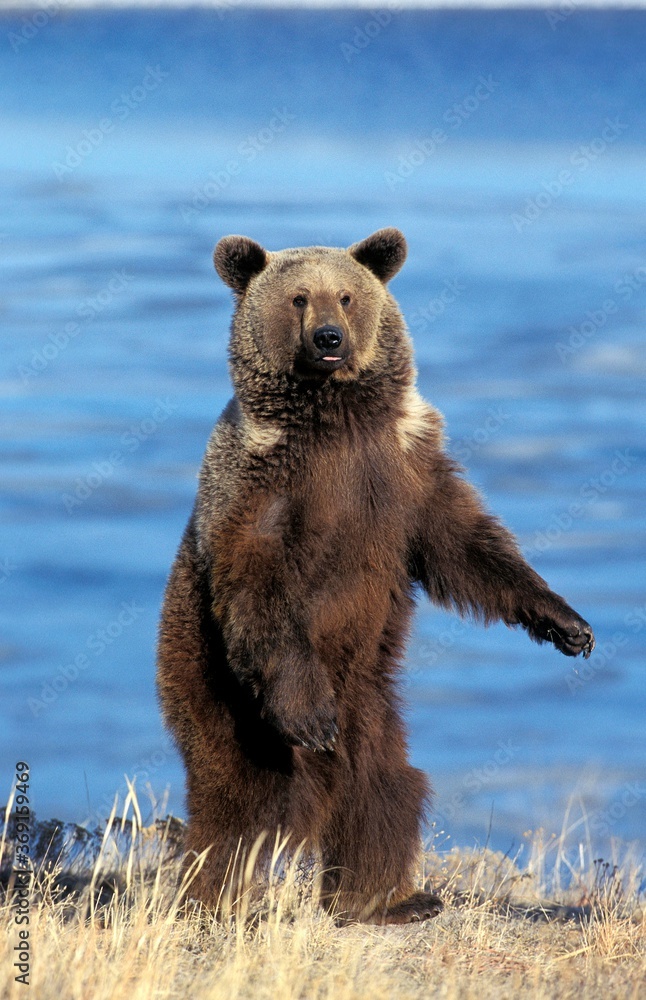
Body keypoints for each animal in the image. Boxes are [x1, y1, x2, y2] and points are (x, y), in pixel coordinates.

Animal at [158, 230, 596, 924]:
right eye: (299, 297)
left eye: (346, 295)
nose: (329, 338)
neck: (336, 420)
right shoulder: (260, 489)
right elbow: (258, 586)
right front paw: (310, 716)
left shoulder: (404, 472)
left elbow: (465, 543)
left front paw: (567, 624)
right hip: (214, 679)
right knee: (246, 802)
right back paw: (212, 904)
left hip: (371, 699)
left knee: (381, 788)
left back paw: (384, 898)